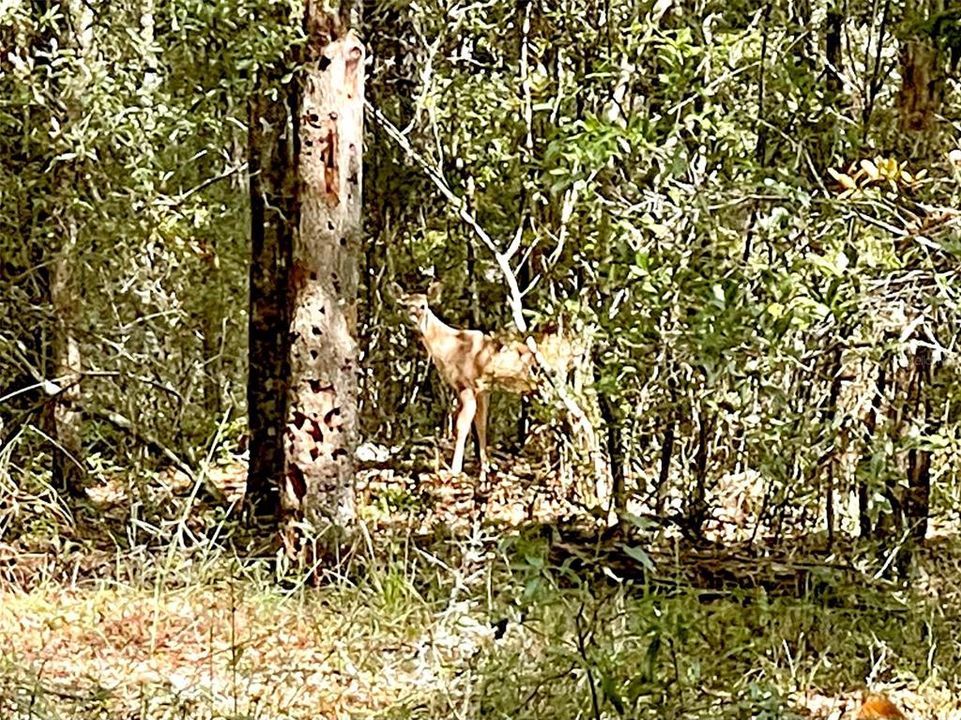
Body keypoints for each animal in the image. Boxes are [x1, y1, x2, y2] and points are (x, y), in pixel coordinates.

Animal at [390, 282, 568, 478]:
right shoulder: (482, 388)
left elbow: (461, 426)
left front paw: (455, 470)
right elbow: (481, 425)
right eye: (404, 305)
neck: (449, 348)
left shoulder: (466, 384)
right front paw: (485, 469)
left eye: (423, 306)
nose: (412, 320)